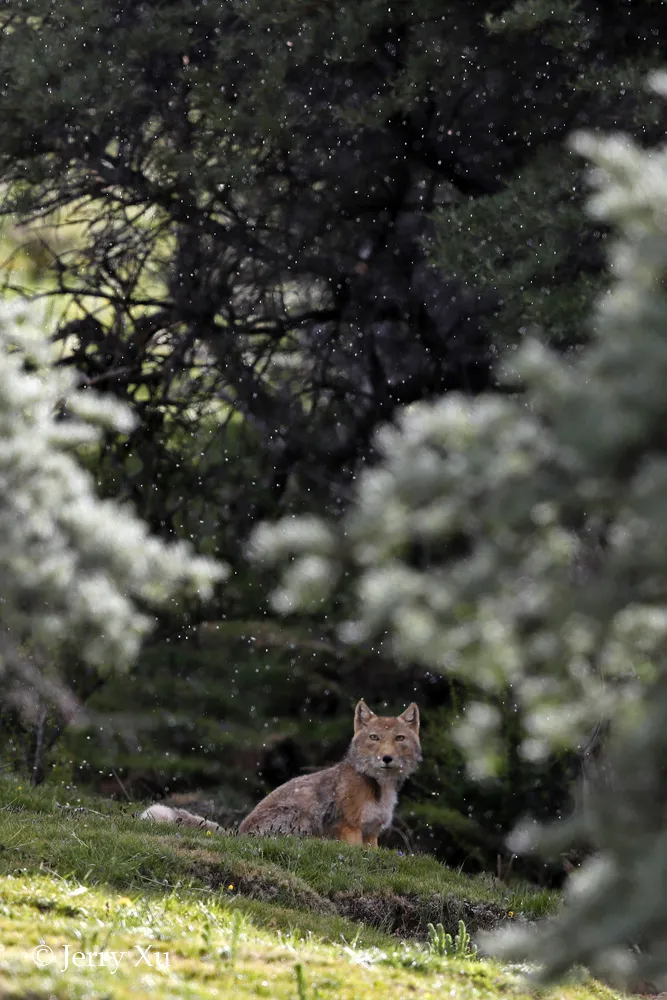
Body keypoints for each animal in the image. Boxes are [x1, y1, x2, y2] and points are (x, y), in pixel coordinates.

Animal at [142, 700, 422, 848]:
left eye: (399, 739)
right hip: (304, 820)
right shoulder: (349, 828)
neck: (379, 790)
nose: (387, 759)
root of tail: (241, 834)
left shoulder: (372, 834)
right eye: (374, 738)